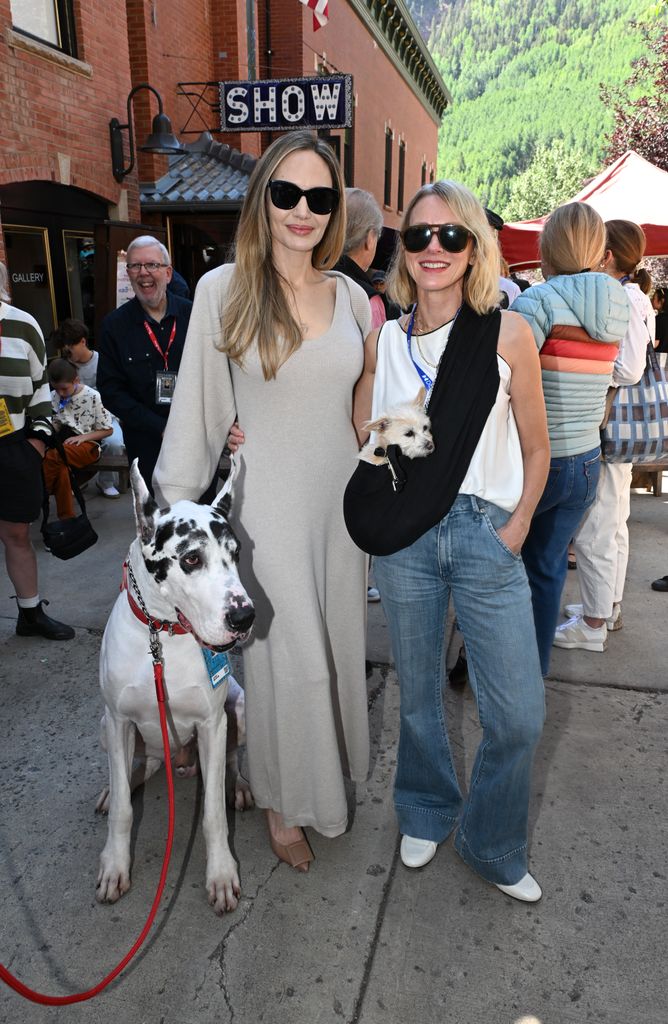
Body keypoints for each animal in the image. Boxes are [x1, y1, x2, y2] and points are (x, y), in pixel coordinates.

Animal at [96, 460, 256, 917]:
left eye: (237, 554)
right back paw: (116, 788)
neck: (161, 636)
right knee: (140, 767)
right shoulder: (119, 720)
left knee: (232, 759)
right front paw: (115, 866)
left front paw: (221, 875)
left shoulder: (212, 723)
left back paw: (240, 785)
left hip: (240, 710)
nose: (245, 617)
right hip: (107, 726)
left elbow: (213, 814)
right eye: (191, 558)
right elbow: (124, 812)